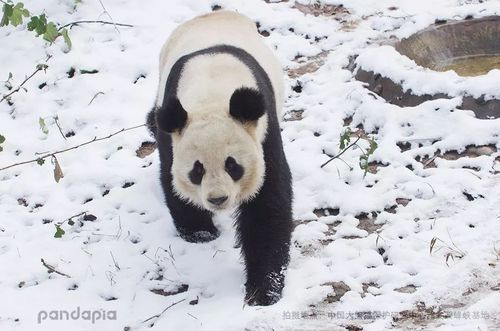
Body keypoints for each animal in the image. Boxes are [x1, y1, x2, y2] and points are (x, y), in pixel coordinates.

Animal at [146, 9, 292, 306]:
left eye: (233, 165)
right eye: (197, 170)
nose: (218, 199)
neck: (211, 95)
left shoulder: (263, 131)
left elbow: (267, 202)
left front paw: (263, 291)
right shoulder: (173, 132)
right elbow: (170, 178)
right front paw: (200, 233)